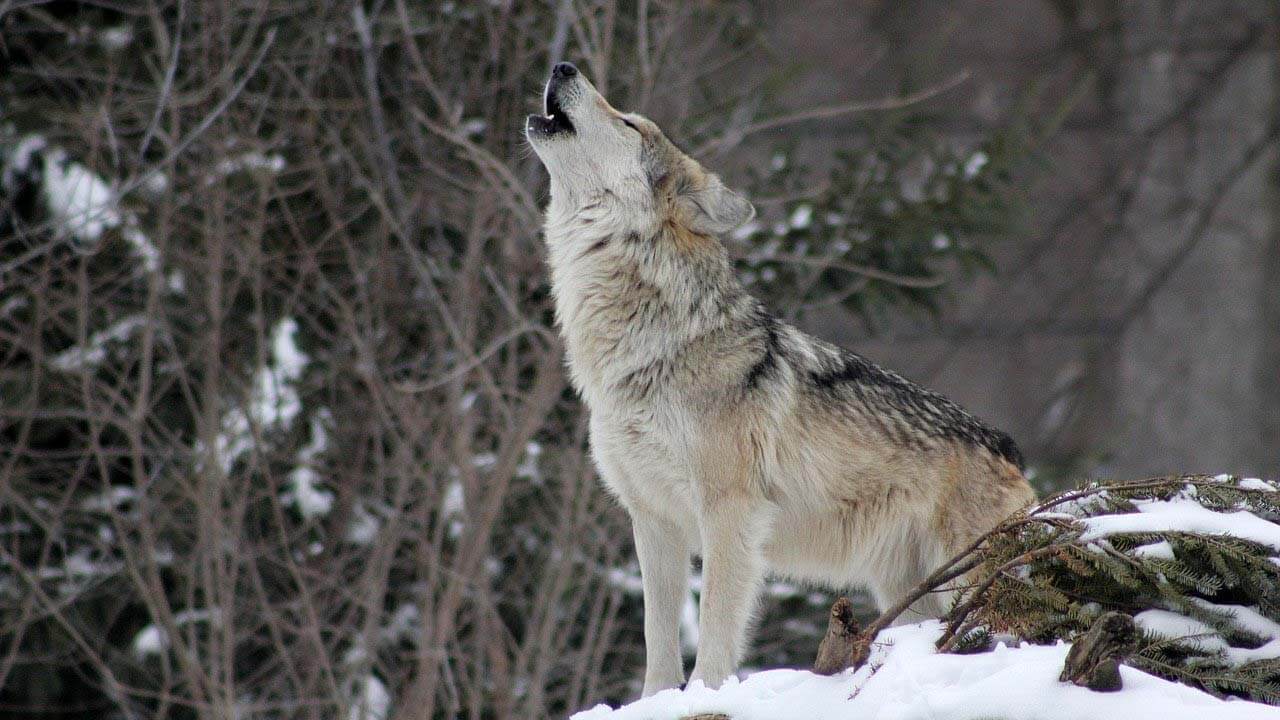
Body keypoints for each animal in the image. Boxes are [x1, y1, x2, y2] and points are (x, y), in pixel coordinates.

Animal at [524, 63, 1034, 696]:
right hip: (908, 593)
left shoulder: (730, 513)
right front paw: (658, 700)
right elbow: (657, 641)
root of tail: (1009, 448)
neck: (648, 348)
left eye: (628, 122)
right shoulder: (653, 520)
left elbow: (715, 629)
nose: (563, 67)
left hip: (967, 579)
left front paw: (705, 696)